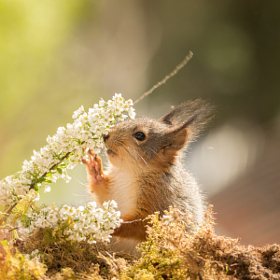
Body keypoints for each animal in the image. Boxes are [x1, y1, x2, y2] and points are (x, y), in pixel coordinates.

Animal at [82, 99, 211, 254]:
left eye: (140, 135)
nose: (105, 135)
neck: (129, 172)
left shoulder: (160, 199)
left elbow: (143, 226)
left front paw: (112, 224)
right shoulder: (113, 191)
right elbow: (104, 195)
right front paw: (95, 169)